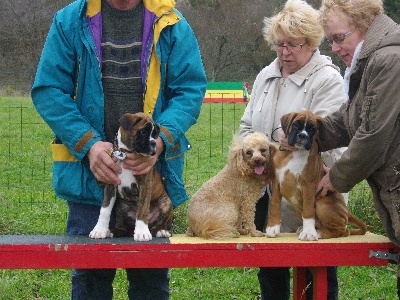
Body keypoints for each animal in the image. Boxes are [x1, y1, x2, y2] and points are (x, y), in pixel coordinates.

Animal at [90, 112, 173, 241]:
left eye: (155, 134)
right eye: (143, 132)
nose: (154, 143)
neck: (126, 154)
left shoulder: (145, 185)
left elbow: (142, 210)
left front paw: (142, 232)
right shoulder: (110, 184)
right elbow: (105, 209)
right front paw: (99, 230)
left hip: (166, 203)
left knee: (157, 225)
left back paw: (161, 231)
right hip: (121, 207)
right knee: (123, 227)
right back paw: (113, 231)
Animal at [266, 110, 366, 241]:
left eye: (312, 129)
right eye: (296, 124)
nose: (303, 135)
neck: (295, 152)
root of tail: (347, 212)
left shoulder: (308, 185)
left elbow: (309, 210)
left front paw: (309, 233)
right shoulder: (277, 183)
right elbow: (274, 204)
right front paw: (273, 227)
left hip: (322, 204)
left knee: (344, 231)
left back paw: (320, 232)